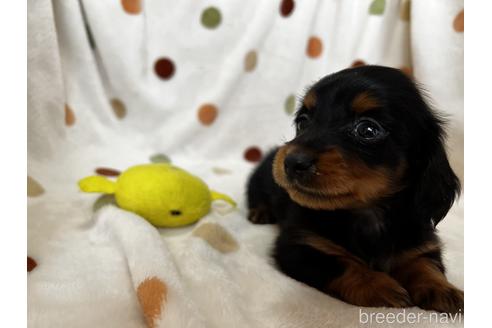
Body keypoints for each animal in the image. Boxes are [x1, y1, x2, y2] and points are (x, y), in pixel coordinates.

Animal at [248, 66, 464, 312]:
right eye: (303, 122)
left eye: (367, 129)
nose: (292, 162)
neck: (368, 213)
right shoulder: (300, 245)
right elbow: (341, 263)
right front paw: (379, 285)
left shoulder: (420, 244)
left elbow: (425, 264)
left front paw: (443, 289)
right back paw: (260, 212)